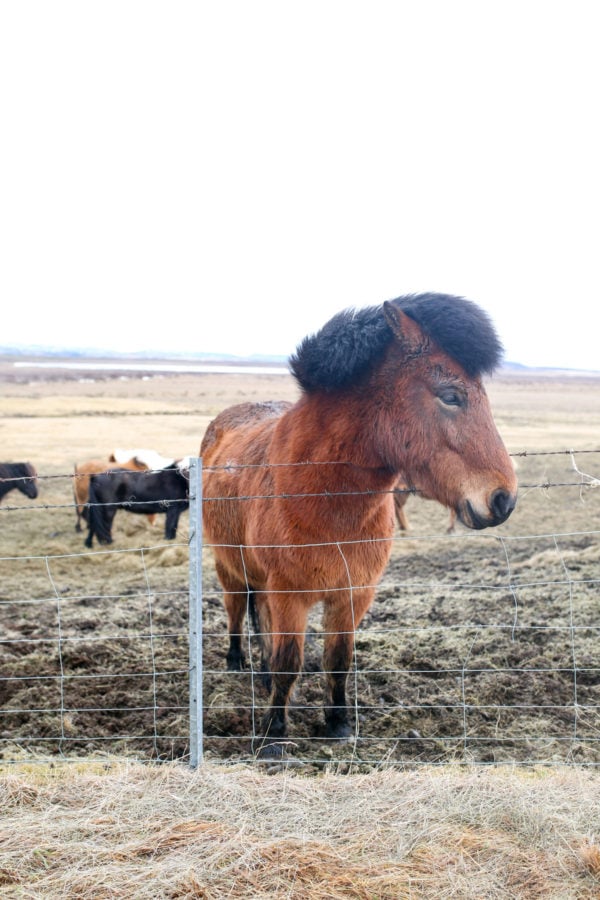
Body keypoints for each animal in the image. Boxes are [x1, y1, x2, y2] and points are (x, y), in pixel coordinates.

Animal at [200, 292, 518, 754]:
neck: (323, 499)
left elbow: (337, 660)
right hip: (230, 567)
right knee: (237, 609)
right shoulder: (289, 595)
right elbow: (289, 661)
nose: (503, 498)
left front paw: (338, 723)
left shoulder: (353, 594)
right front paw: (274, 735)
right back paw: (237, 662)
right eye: (450, 395)